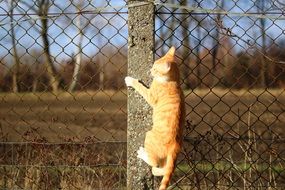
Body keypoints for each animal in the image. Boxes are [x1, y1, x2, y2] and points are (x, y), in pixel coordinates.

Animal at [124, 46, 184, 190]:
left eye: (155, 69)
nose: (150, 70)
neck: (174, 81)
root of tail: (175, 146)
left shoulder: (150, 95)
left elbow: (140, 87)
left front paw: (131, 80)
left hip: (149, 135)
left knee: (154, 162)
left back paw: (142, 154)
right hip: (169, 159)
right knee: (165, 168)